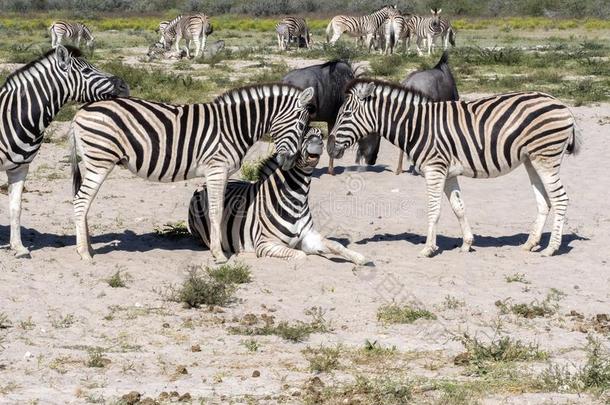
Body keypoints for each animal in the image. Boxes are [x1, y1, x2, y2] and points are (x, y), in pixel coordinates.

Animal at [0, 45, 128, 258]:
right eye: (87, 70)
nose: (125, 86)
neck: (16, 115)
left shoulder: (20, 167)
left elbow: (16, 207)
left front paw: (18, 247)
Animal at [70, 83, 314, 264]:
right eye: (301, 125)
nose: (289, 162)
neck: (234, 126)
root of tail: (79, 111)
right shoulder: (217, 168)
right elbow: (216, 211)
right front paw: (219, 254)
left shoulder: (221, 171)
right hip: (100, 160)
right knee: (81, 201)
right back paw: (84, 253)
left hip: (94, 161)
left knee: (82, 201)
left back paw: (87, 247)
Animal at [189, 127, 370, 266]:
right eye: (302, 135)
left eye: (320, 134)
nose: (319, 144)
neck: (298, 200)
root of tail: (201, 186)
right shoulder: (265, 244)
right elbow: (301, 255)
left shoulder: (308, 236)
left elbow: (336, 245)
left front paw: (359, 258)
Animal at [328, 79, 580, 256]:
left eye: (346, 114)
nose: (329, 147)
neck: (416, 126)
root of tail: (561, 104)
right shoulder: (447, 173)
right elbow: (459, 207)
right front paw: (467, 243)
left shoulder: (434, 169)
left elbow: (434, 210)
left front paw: (428, 249)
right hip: (532, 159)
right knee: (545, 201)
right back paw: (530, 244)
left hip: (546, 157)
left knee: (560, 199)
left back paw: (552, 248)